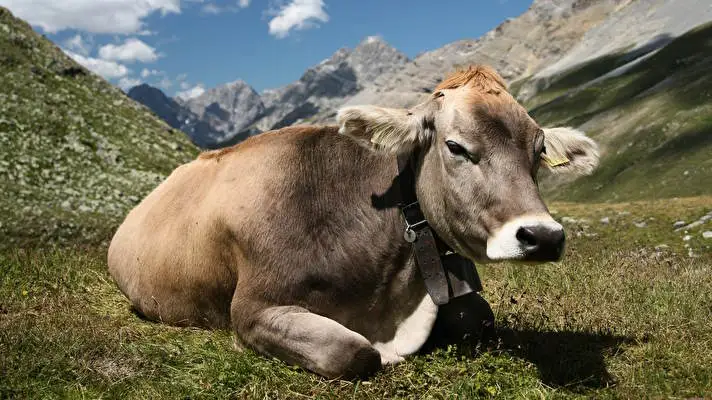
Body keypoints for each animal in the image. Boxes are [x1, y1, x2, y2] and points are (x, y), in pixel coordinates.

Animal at [108, 65, 599, 379]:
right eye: (456, 147)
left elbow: (479, 318)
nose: (543, 236)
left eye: (538, 150)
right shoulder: (253, 309)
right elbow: (353, 352)